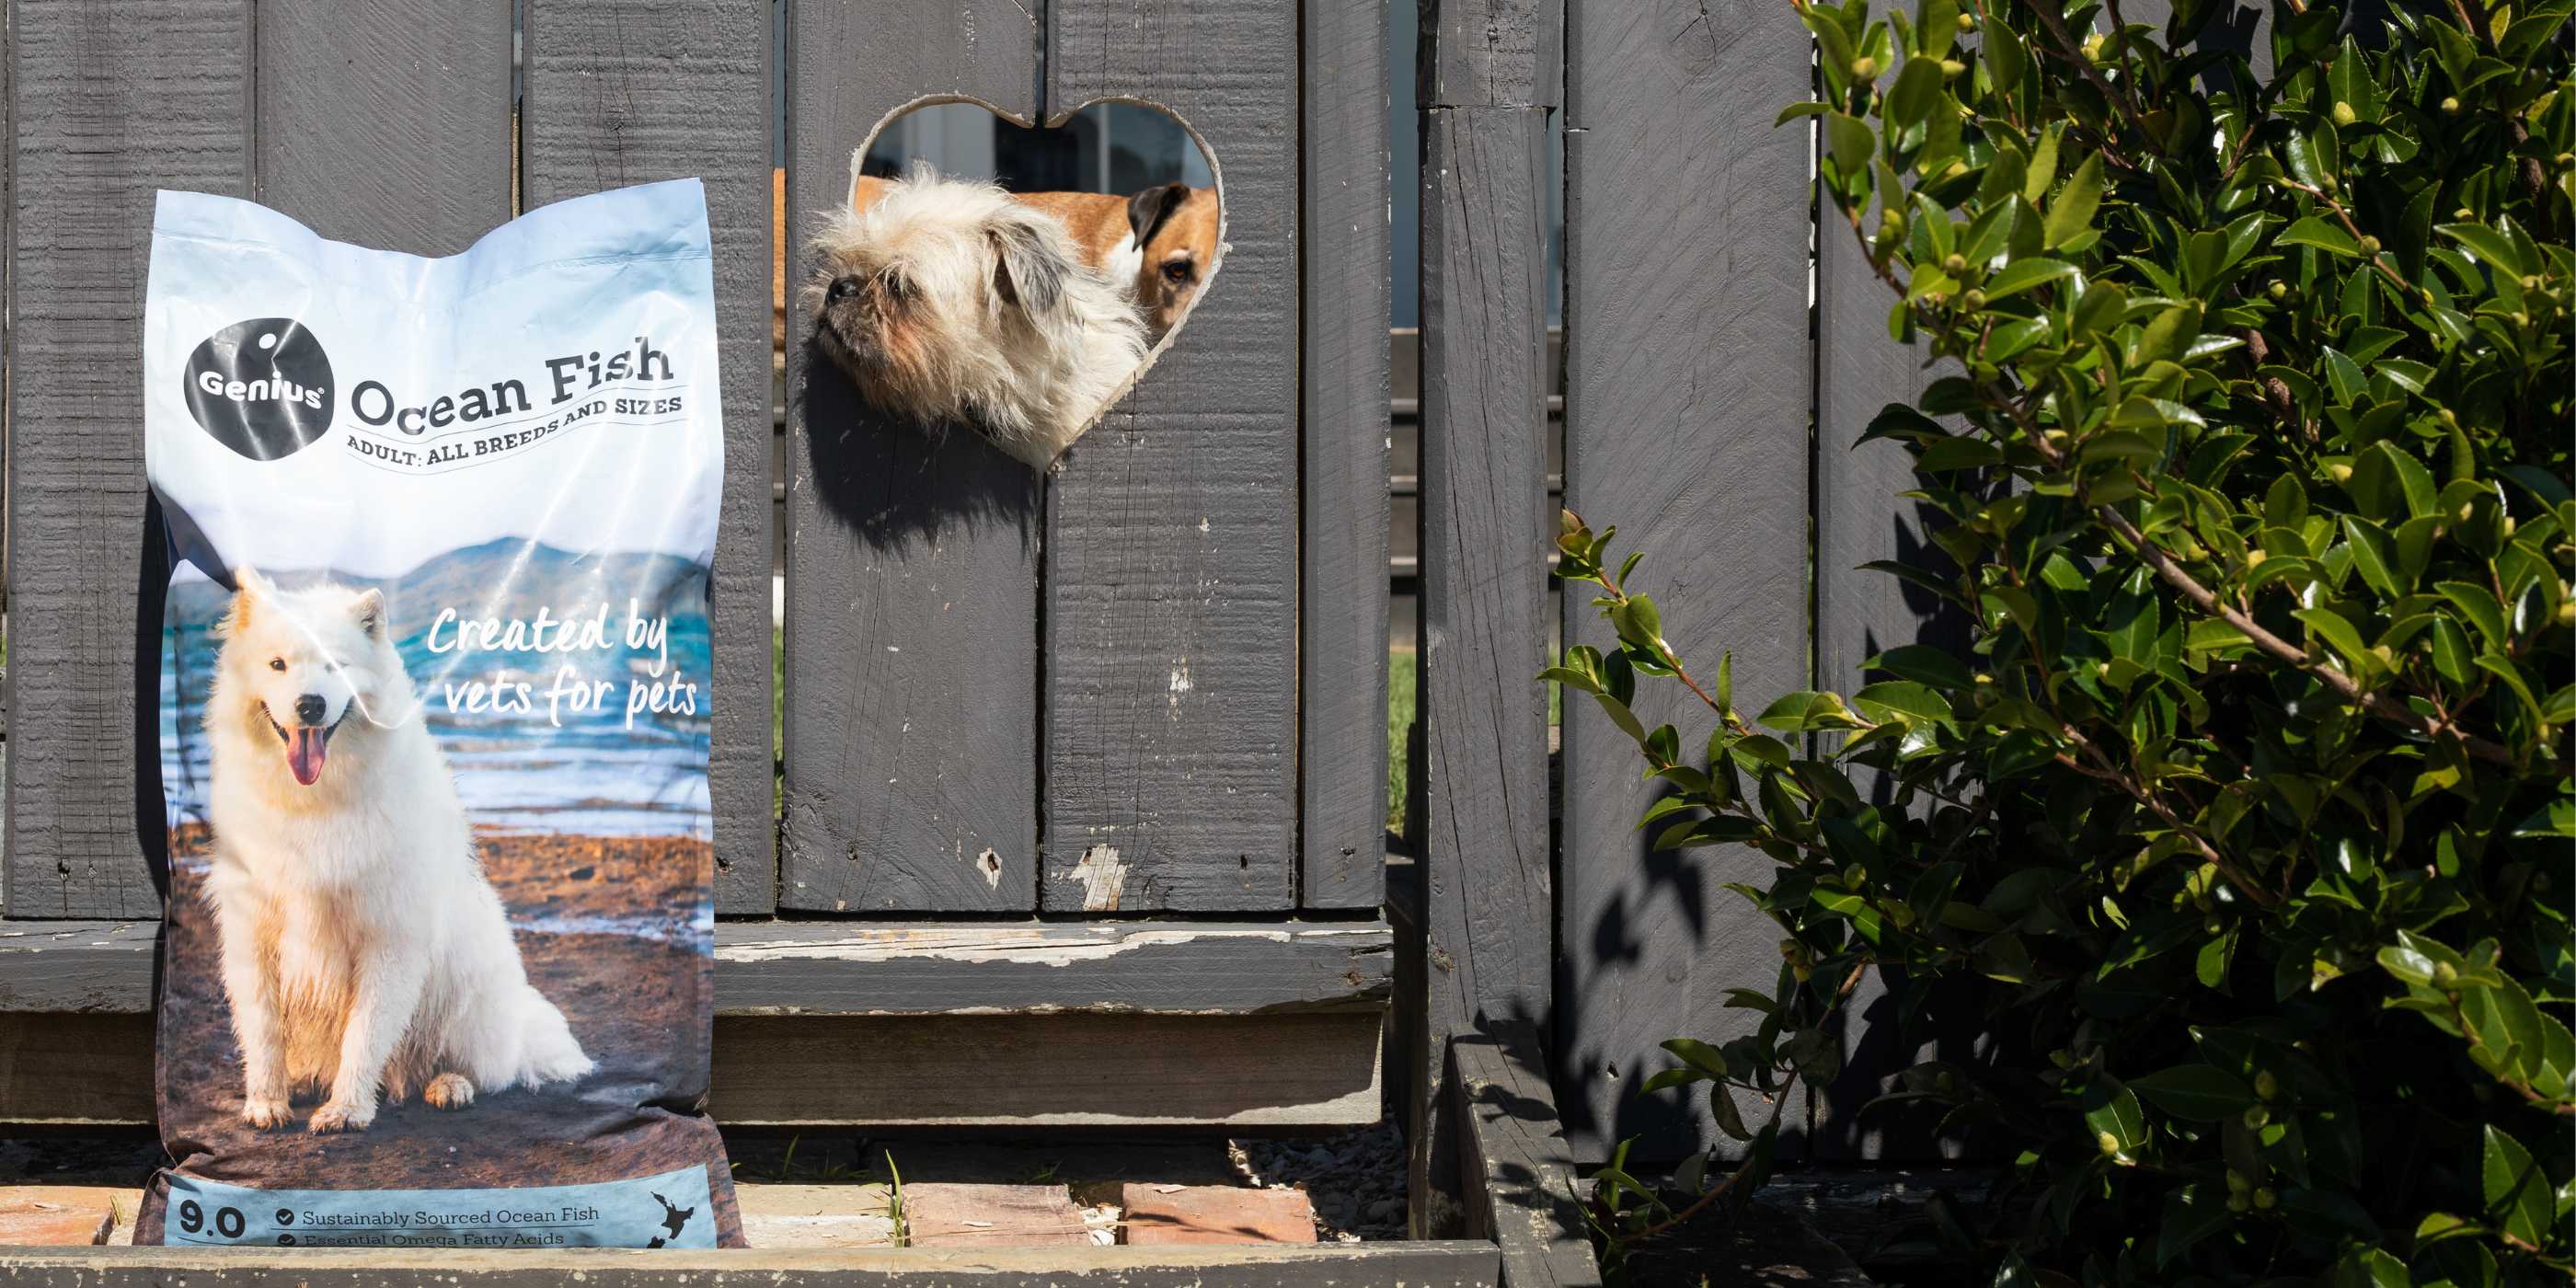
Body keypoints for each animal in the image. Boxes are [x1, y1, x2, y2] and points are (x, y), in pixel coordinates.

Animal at [201, 569, 592, 1133]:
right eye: (278, 665)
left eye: (336, 665)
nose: (310, 704)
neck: (315, 804)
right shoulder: (254, 934)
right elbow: (264, 1030)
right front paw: (267, 1102)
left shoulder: (389, 937)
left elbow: (364, 1035)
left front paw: (346, 1109)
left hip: (464, 991)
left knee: (479, 1069)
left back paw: (449, 1085)